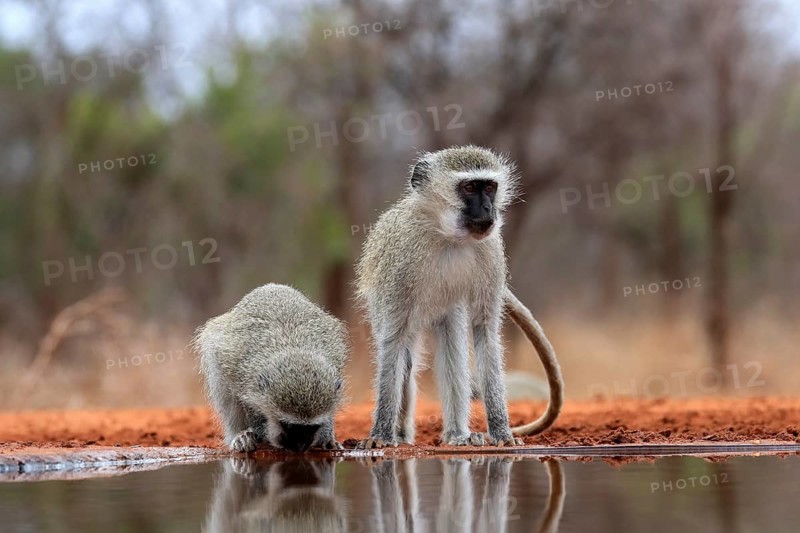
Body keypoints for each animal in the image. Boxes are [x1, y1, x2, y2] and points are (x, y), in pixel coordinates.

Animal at [193, 284, 348, 453]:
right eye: (288, 425)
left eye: (311, 428)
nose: (300, 447)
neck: (293, 348)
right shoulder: (242, 376)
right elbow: (247, 404)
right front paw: (258, 434)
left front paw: (327, 437)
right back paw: (239, 435)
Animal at [355, 145, 564, 448]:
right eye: (468, 188)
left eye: (489, 187)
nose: (489, 209)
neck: (448, 236)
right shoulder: (401, 260)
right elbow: (393, 341)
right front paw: (380, 435)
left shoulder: (490, 253)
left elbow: (485, 332)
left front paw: (501, 432)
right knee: (405, 359)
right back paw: (402, 435)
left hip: (448, 309)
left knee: (450, 345)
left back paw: (457, 434)